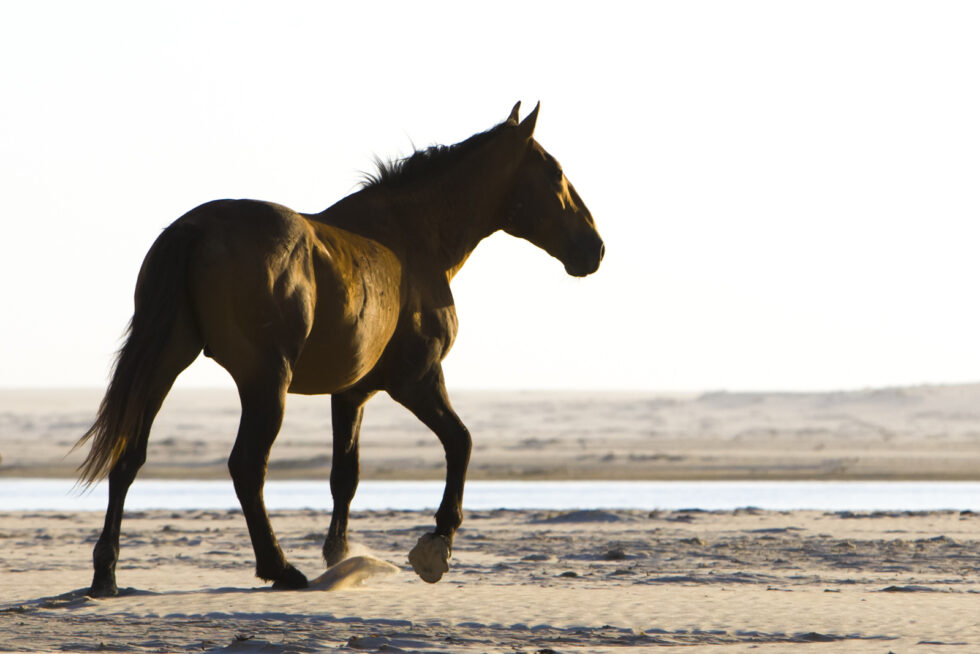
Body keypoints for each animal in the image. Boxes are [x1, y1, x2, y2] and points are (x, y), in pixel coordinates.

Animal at [75, 101, 604, 597]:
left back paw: (107, 574)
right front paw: (437, 544)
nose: (594, 248)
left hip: (165, 365)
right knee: (246, 467)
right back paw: (280, 568)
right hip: (265, 382)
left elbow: (344, 476)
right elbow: (461, 442)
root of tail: (196, 228)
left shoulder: (351, 393)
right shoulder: (417, 379)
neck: (412, 239)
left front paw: (339, 554)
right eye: (555, 173)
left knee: (128, 458)